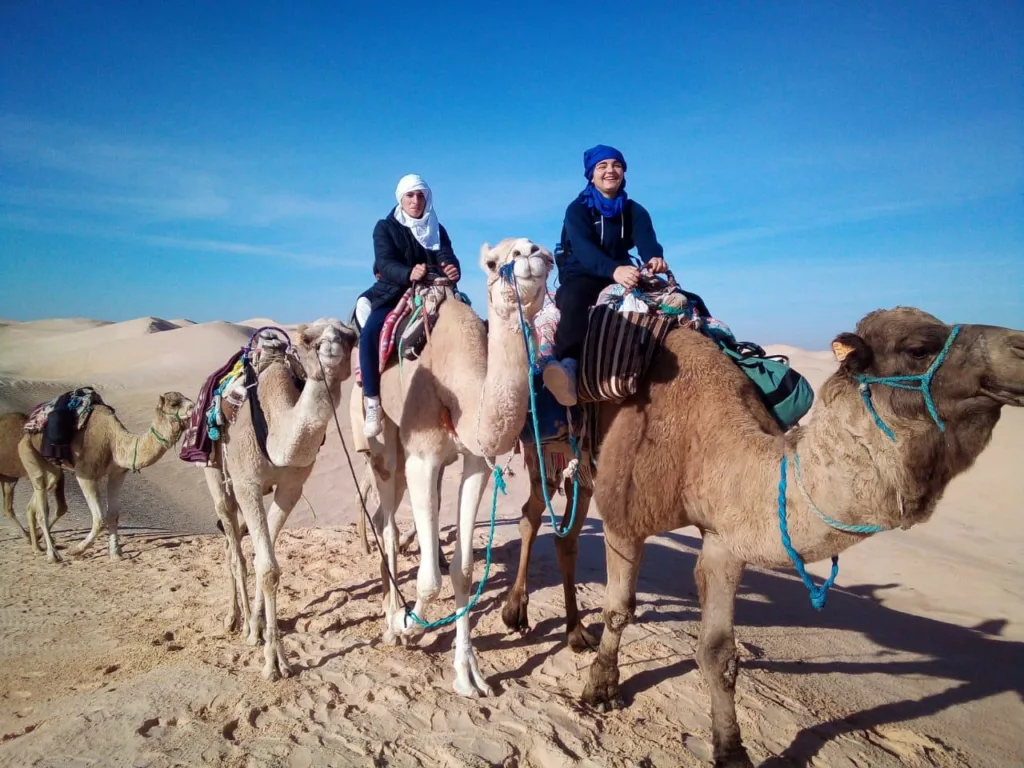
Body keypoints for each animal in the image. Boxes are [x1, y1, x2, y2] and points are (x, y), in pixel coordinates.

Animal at [11, 393, 192, 561]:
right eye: (174, 404)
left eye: (187, 399)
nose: (193, 407)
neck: (114, 442)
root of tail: (26, 431)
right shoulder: (85, 474)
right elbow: (99, 520)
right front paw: (76, 549)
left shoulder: (117, 475)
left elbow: (112, 516)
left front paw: (116, 555)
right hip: (28, 453)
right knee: (42, 507)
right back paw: (52, 555)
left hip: (52, 467)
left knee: (34, 503)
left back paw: (37, 547)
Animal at [201, 319, 358, 684]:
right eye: (309, 339)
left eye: (352, 337)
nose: (332, 348)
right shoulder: (247, 483)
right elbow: (266, 566)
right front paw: (272, 661)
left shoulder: (291, 488)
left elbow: (266, 562)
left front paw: (262, 634)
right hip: (215, 473)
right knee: (233, 547)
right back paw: (237, 620)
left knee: (234, 544)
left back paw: (242, 620)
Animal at [561, 309, 1024, 768]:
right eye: (918, 348)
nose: (1021, 347)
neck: (708, 445)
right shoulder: (624, 515)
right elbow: (618, 610)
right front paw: (601, 689)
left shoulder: (724, 537)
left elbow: (719, 653)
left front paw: (732, 752)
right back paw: (558, 629)